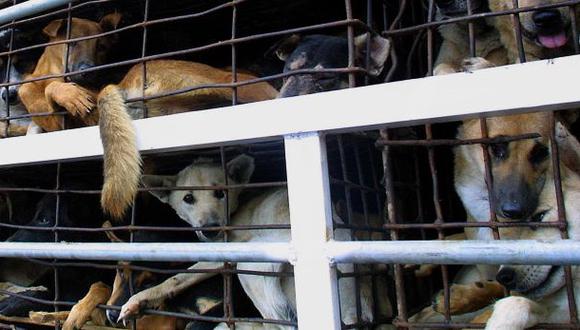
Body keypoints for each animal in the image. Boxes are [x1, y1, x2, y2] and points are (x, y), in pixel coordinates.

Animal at [111, 155, 392, 330]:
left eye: (220, 193)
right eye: (188, 198)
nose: (211, 229)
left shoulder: (223, 254)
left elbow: (177, 277)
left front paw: (141, 299)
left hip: (251, 266)